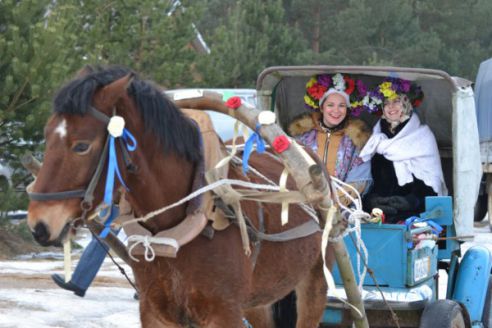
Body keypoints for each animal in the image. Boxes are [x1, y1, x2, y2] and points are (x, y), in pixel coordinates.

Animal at [26, 65, 326, 326]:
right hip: (258, 301)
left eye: (81, 146)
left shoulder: (224, 313)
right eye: (46, 135)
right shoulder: (155, 312)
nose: (39, 225)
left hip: (314, 282)